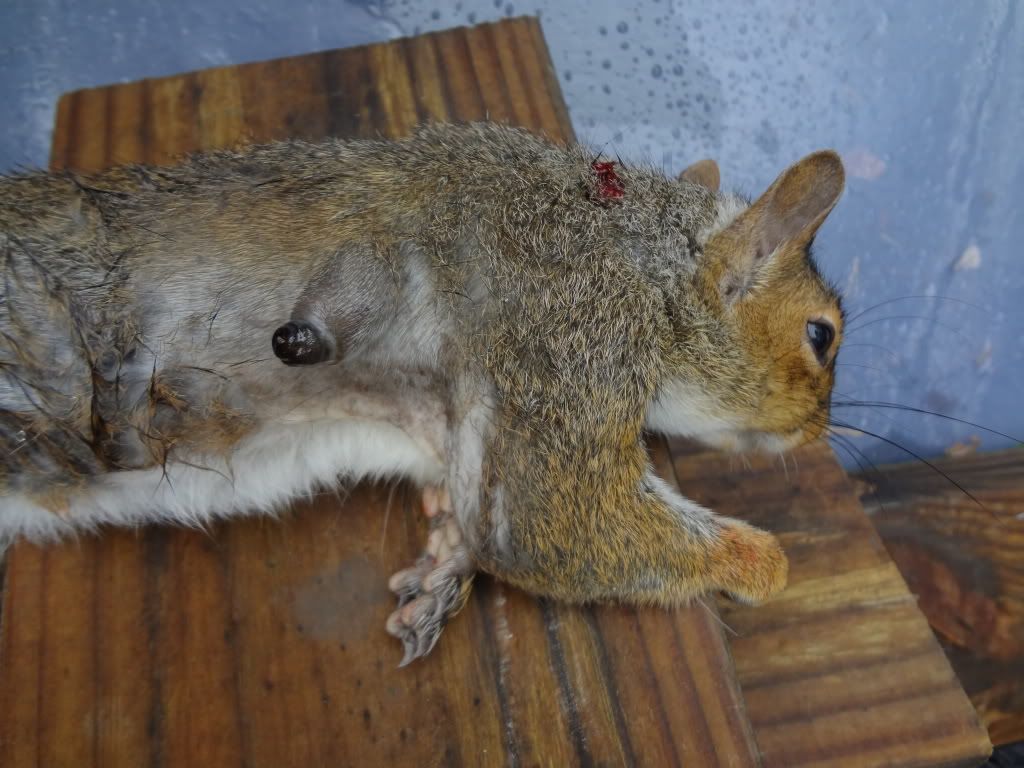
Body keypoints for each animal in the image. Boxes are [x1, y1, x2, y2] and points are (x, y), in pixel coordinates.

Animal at [0, 122, 845, 663]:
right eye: (821, 335)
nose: (817, 433)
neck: (629, 248)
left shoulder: (435, 418)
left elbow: (480, 502)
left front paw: (446, 555)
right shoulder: (570, 319)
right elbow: (552, 517)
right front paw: (766, 562)